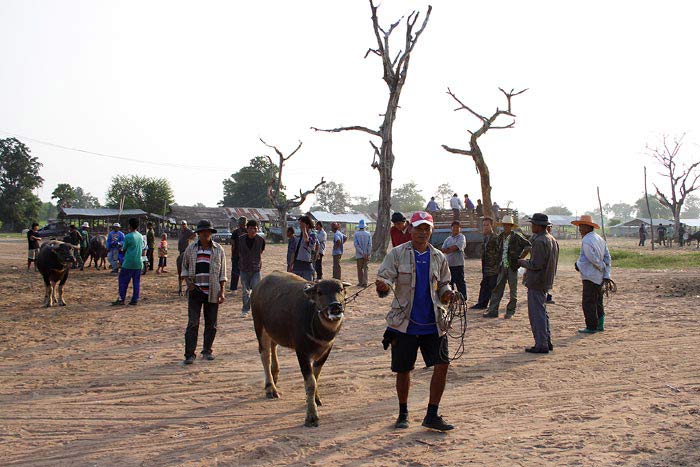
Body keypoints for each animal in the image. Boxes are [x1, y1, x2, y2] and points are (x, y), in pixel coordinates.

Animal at [252, 272, 350, 430]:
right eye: (320, 292)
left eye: (340, 289)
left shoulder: (326, 351)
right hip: (259, 326)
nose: (335, 306)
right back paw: (270, 388)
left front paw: (316, 399)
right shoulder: (302, 353)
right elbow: (310, 383)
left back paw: (275, 374)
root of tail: (258, 286)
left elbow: (316, 377)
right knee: (265, 355)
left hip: (274, 330)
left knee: (274, 346)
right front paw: (311, 417)